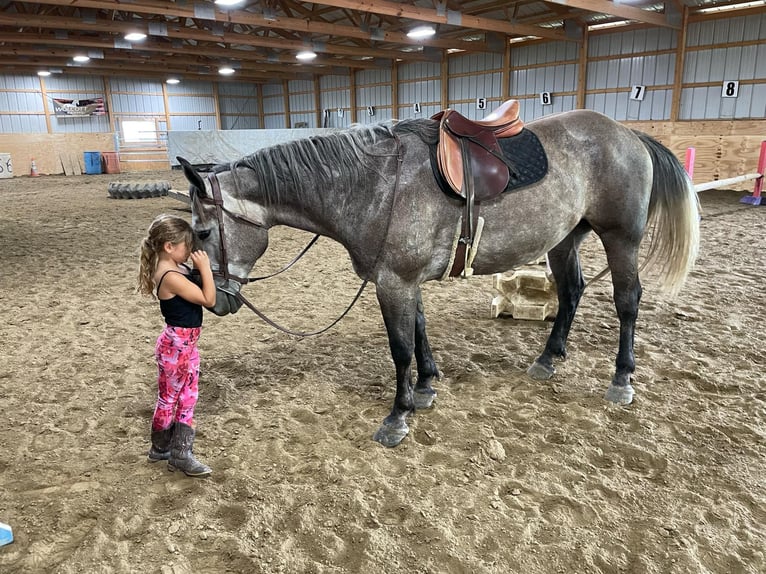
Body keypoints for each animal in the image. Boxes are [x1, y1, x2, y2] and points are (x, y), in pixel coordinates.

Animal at [182, 109, 704, 450]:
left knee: (627, 301)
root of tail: (626, 133)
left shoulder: (393, 281)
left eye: (204, 231)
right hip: (565, 238)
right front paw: (426, 387)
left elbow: (400, 348)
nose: (217, 301)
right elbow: (419, 332)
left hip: (621, 239)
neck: (374, 184)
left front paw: (398, 415)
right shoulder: (402, 281)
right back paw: (548, 358)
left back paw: (621, 378)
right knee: (572, 291)